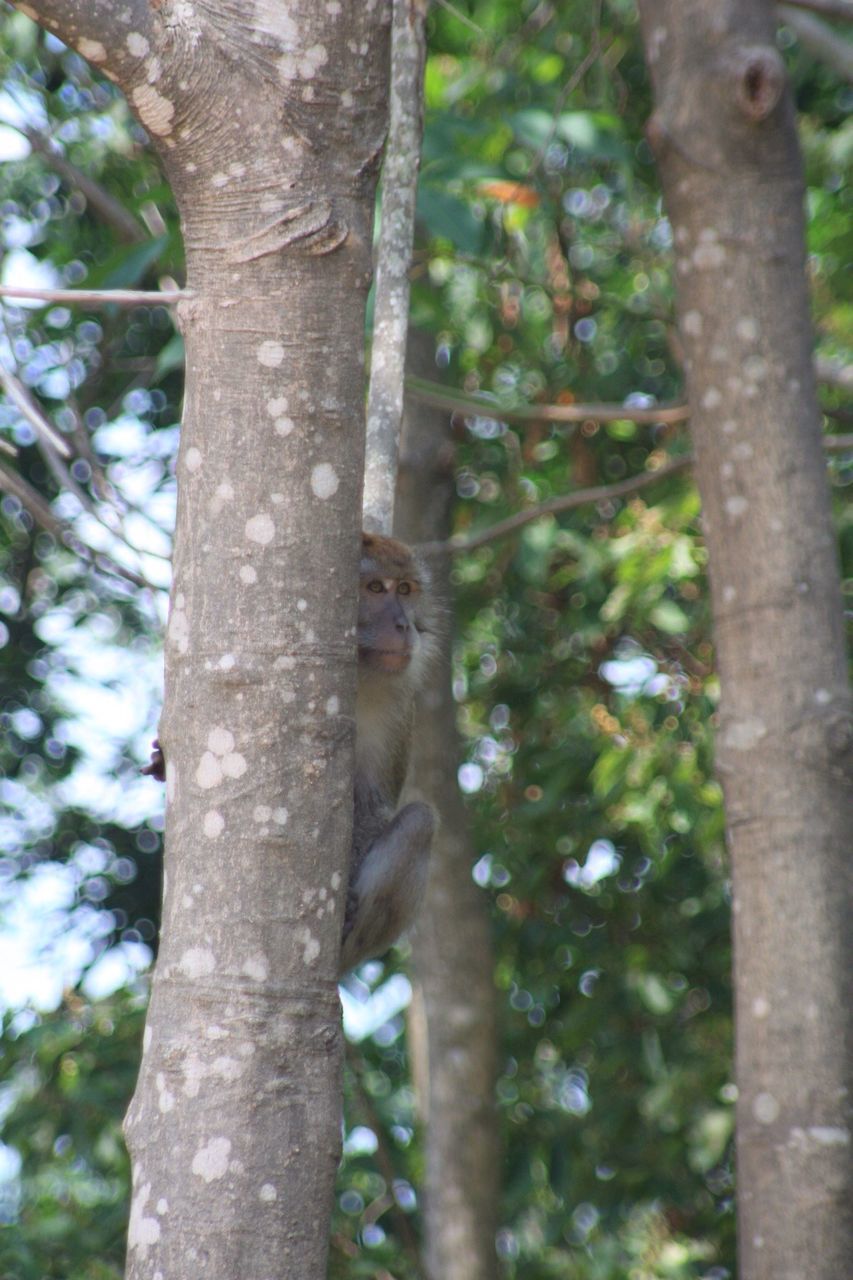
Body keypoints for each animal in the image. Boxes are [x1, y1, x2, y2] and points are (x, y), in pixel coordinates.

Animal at [142, 529, 435, 977]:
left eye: (405, 589)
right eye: (375, 588)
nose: (404, 625)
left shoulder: (397, 704)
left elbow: (374, 803)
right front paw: (161, 763)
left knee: (421, 821)